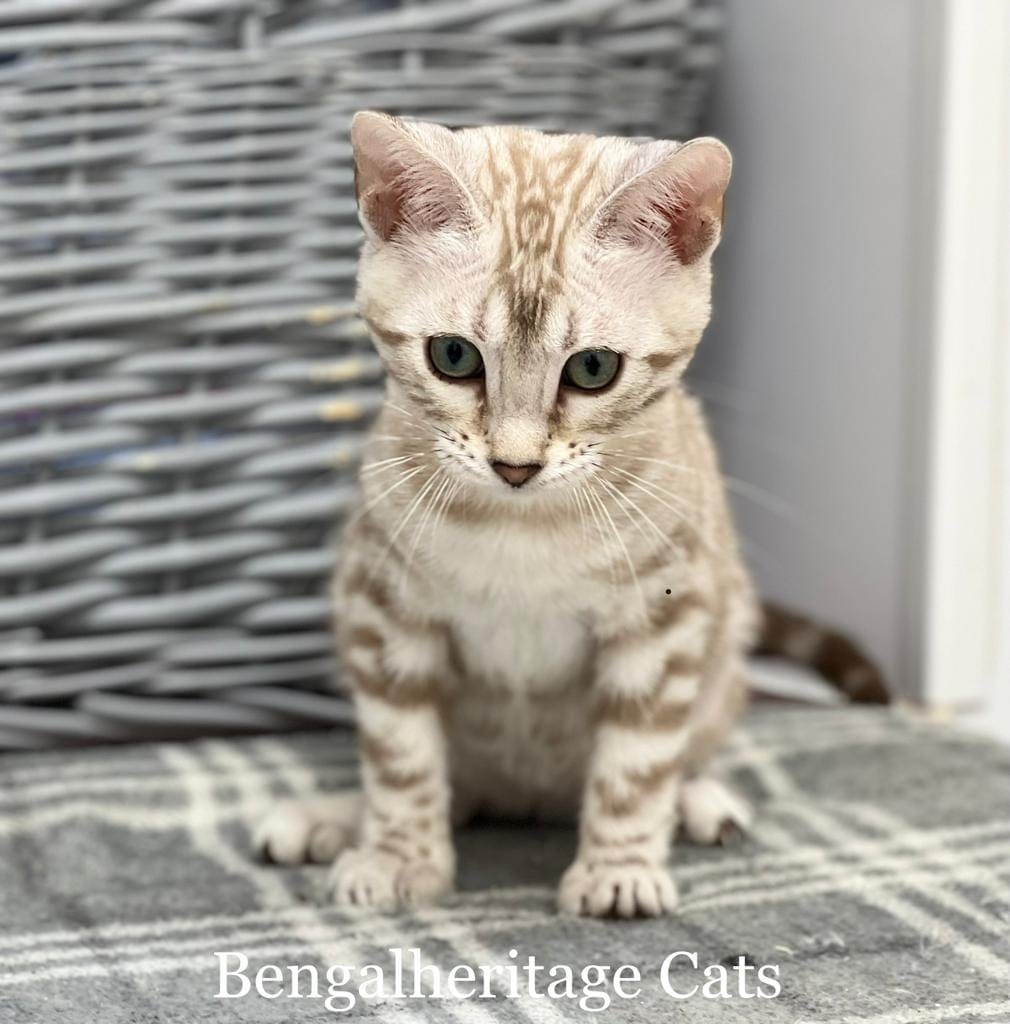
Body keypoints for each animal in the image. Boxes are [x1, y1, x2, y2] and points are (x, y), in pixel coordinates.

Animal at [256, 112, 887, 918]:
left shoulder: (662, 617)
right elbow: (400, 754)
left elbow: (638, 760)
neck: (522, 529)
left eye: (593, 369)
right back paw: (333, 817)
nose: (515, 464)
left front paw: (619, 867)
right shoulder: (384, 605)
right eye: (453, 357)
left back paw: (701, 803)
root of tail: (524, 801)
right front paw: (400, 856)